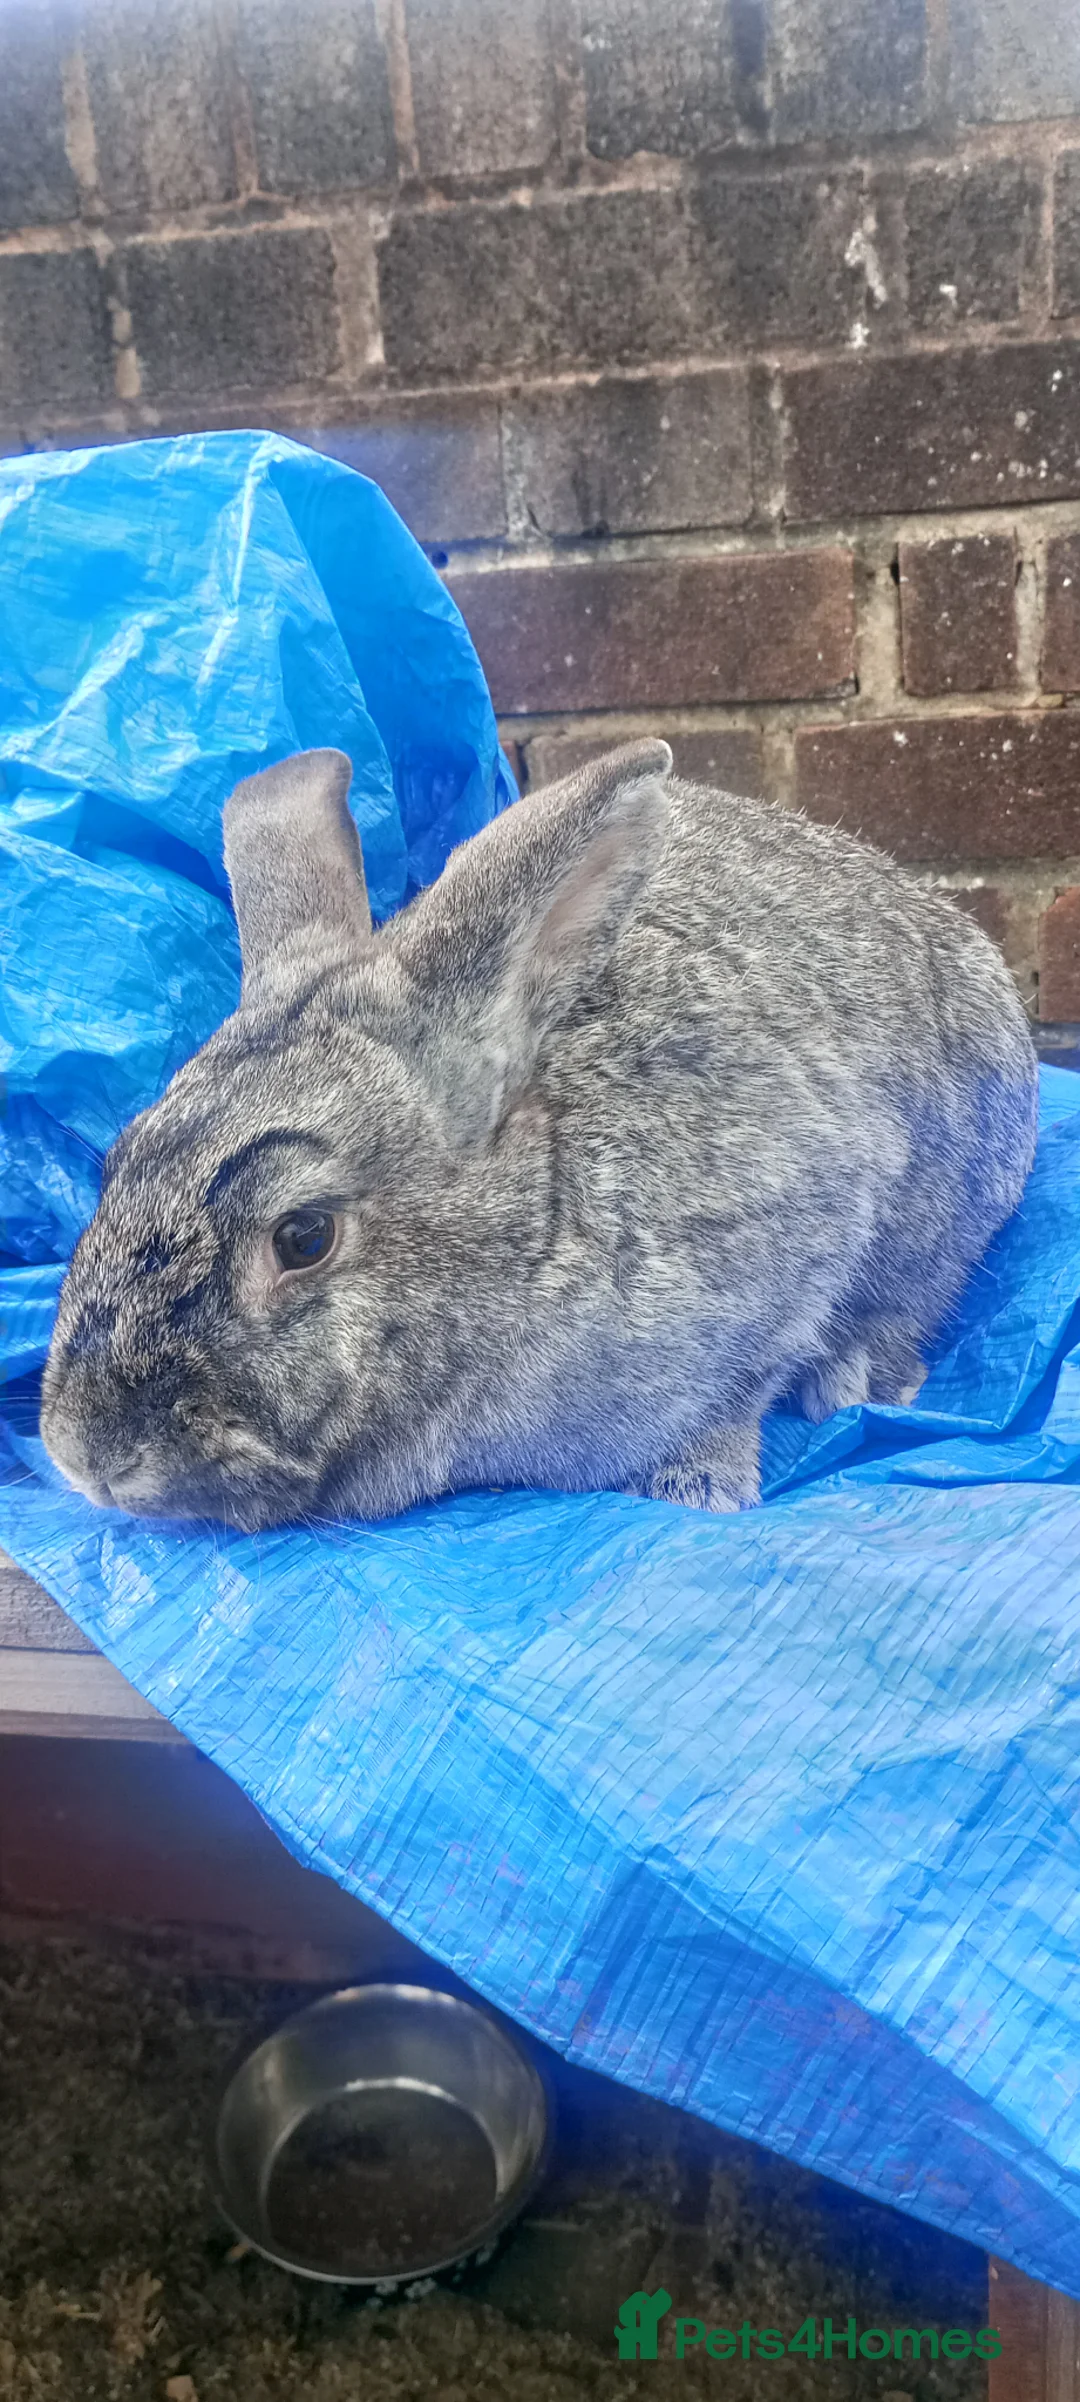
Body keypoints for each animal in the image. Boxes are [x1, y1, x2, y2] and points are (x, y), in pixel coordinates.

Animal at [40, 738, 1037, 1532]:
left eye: (303, 1237)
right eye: (117, 1163)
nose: (83, 1455)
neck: (531, 1234)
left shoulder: (794, 1238)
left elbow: (736, 1391)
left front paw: (698, 1486)